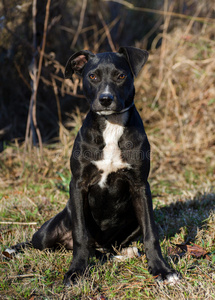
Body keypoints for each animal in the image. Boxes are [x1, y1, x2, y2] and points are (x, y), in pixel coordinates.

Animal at [6, 45, 178, 284]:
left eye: (121, 76)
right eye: (93, 76)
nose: (105, 99)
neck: (112, 126)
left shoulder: (140, 186)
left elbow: (151, 233)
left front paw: (161, 269)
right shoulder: (79, 184)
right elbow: (81, 234)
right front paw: (76, 271)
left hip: (131, 221)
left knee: (110, 248)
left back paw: (123, 253)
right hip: (49, 231)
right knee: (38, 242)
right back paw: (14, 249)